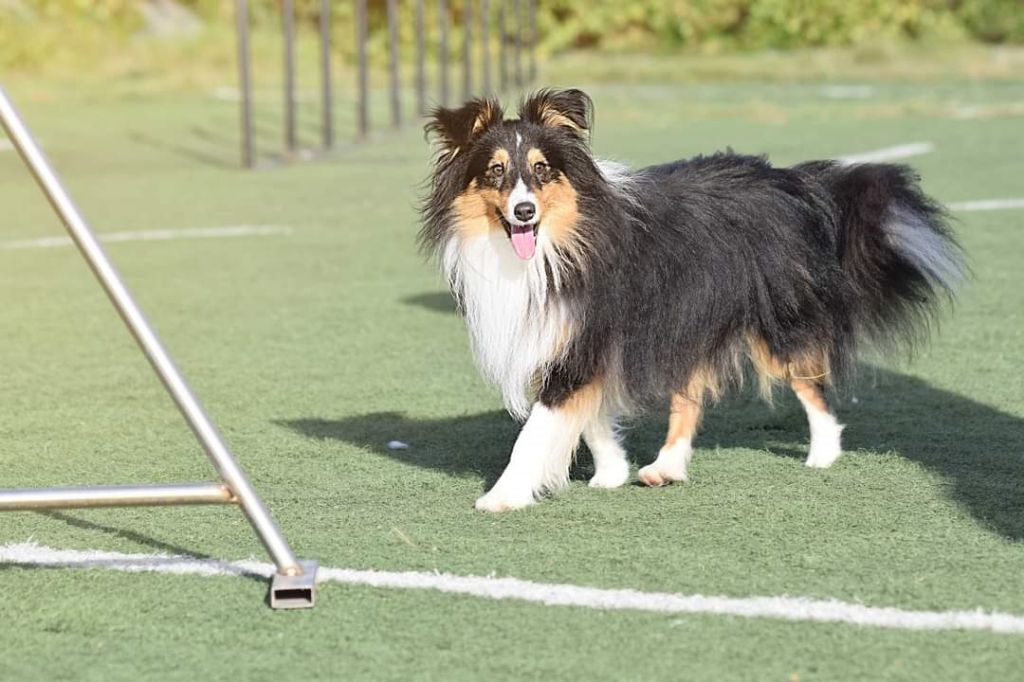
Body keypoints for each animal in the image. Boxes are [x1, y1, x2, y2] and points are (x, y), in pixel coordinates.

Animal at [419, 87, 962, 507]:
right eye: (495, 171)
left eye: (542, 169)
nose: (525, 212)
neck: (558, 241)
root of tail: (792, 180)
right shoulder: (577, 341)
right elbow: (591, 416)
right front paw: (612, 471)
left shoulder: (582, 335)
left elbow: (535, 431)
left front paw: (501, 497)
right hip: (693, 312)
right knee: (691, 394)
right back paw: (665, 467)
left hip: (775, 319)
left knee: (811, 386)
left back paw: (822, 456)